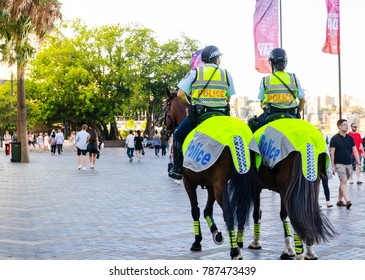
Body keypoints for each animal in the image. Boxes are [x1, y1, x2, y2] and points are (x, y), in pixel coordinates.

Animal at [162, 90, 256, 260]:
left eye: (165, 107)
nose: (163, 133)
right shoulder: (211, 184)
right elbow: (207, 210)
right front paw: (216, 234)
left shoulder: (189, 182)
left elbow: (195, 210)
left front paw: (197, 242)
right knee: (240, 211)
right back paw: (238, 244)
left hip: (219, 187)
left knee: (228, 214)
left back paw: (234, 251)